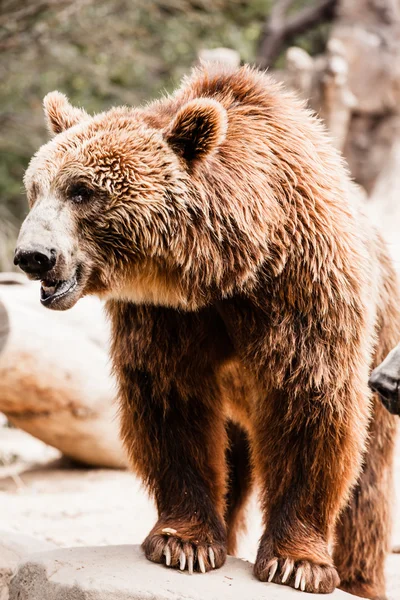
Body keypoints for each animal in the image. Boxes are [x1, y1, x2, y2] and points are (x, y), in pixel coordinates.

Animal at [14, 63, 400, 596]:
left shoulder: (303, 284)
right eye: (36, 188)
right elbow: (173, 405)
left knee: (366, 487)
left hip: (382, 347)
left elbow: (310, 403)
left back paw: (360, 579)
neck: (226, 270)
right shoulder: (167, 316)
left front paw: (295, 562)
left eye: (82, 191)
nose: (32, 256)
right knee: (234, 466)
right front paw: (185, 543)